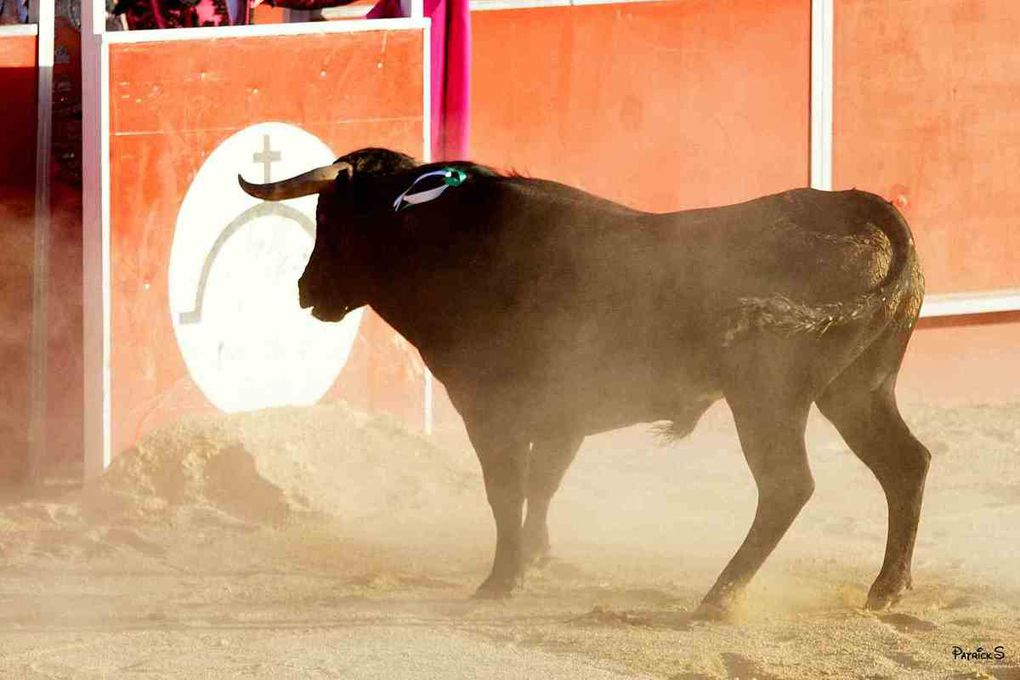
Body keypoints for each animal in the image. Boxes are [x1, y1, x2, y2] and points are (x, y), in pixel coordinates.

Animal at [238, 148, 934, 623]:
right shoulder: (561, 419)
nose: (305, 290)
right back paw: (884, 590)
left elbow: (506, 493)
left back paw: (718, 598)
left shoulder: (492, 414)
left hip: (767, 397)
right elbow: (544, 485)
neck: (458, 249)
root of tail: (860, 209)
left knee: (788, 486)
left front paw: (500, 581)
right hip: (857, 389)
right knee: (906, 463)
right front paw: (537, 560)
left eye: (331, 220)